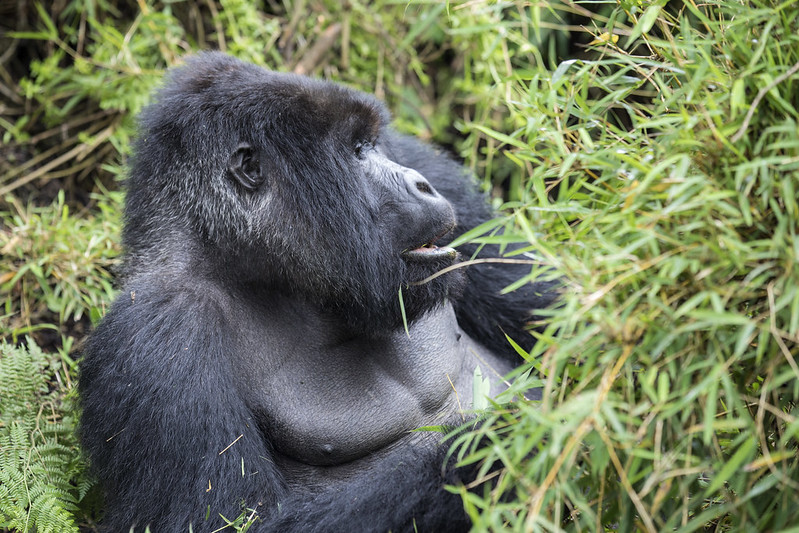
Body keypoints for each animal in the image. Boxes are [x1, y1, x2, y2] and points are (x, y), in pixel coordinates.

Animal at [81, 51, 556, 532]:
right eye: (355, 151)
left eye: (374, 143)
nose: (422, 183)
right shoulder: (157, 332)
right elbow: (224, 518)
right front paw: (508, 441)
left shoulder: (413, 153)